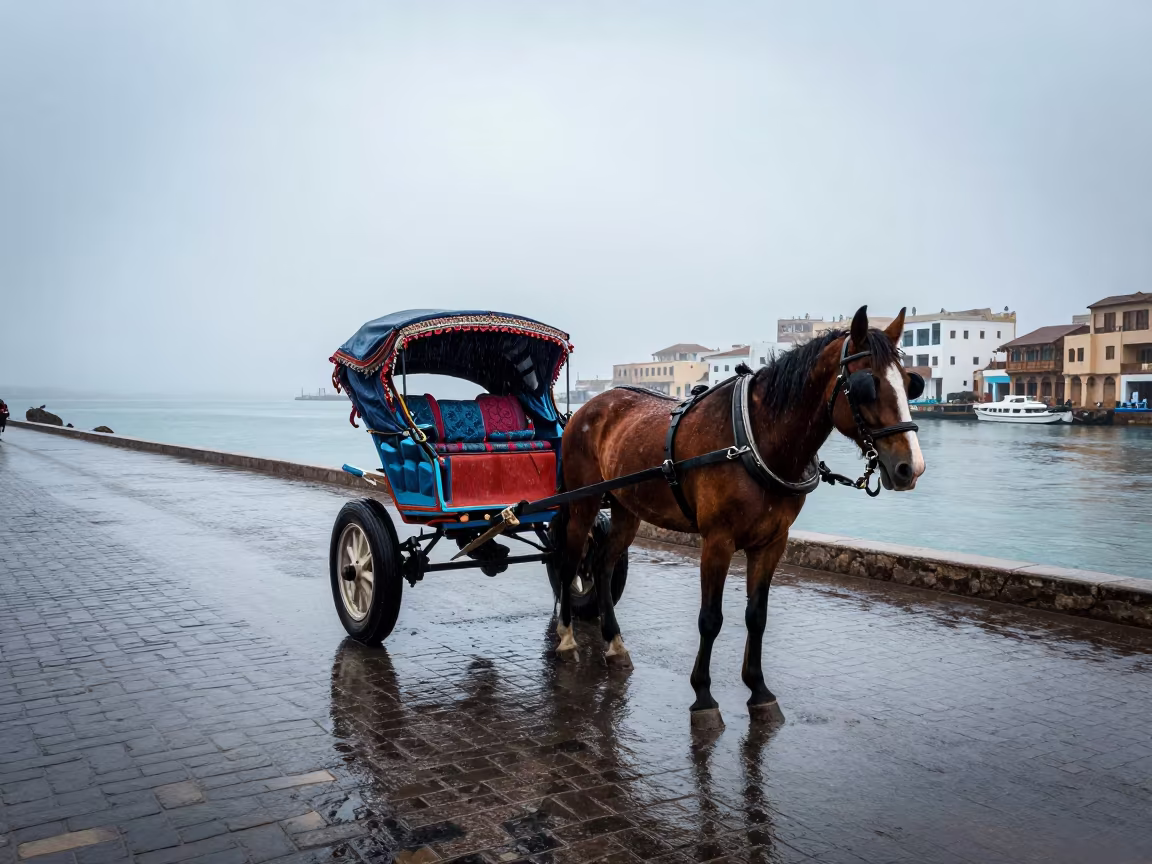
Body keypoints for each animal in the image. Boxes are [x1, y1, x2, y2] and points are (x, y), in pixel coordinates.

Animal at [555, 306, 925, 727]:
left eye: (910, 384)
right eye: (868, 385)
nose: (910, 467)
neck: (756, 438)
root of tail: (587, 407)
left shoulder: (772, 542)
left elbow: (757, 615)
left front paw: (758, 689)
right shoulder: (717, 541)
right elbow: (710, 618)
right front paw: (703, 695)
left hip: (626, 507)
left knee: (602, 564)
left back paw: (614, 644)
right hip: (583, 502)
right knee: (570, 564)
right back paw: (566, 638)